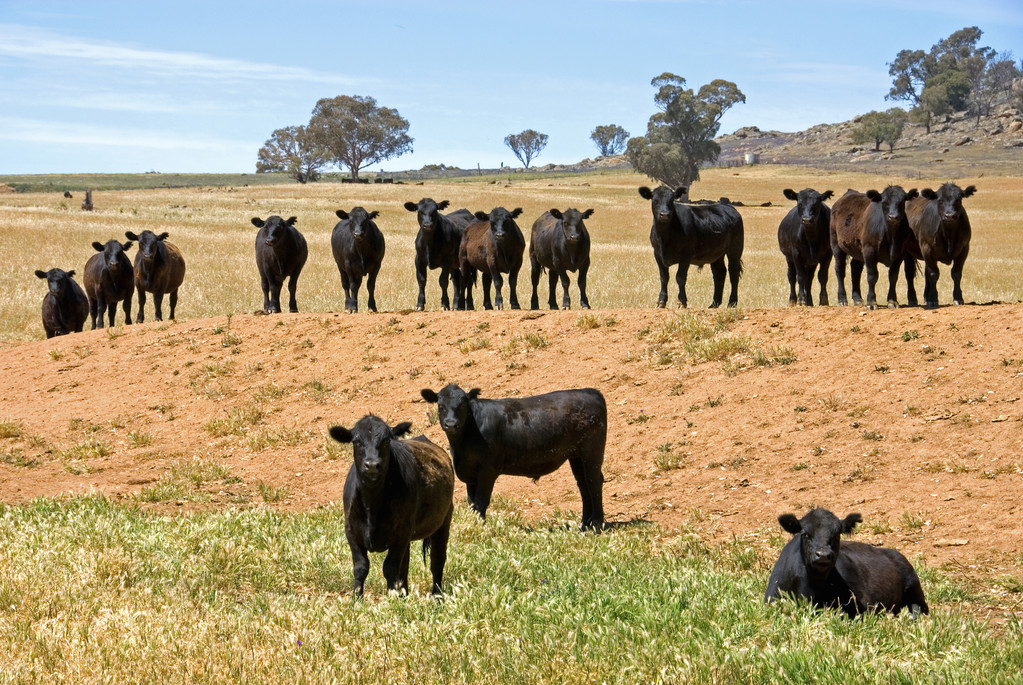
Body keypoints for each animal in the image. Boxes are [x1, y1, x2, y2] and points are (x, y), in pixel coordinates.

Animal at [329, 415, 454, 597]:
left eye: (386, 440)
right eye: (356, 441)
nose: (372, 464)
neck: (372, 505)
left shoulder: (401, 533)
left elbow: (389, 568)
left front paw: (391, 598)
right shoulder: (351, 530)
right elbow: (361, 567)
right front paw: (357, 599)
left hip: (443, 521)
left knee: (437, 560)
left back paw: (437, 596)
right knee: (405, 567)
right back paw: (405, 594)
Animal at [417, 386, 601, 531]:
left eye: (463, 405)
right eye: (440, 405)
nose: (451, 424)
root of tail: (590, 391)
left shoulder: (487, 470)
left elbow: (481, 501)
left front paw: (481, 528)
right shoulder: (470, 474)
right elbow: (472, 503)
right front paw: (475, 525)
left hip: (592, 452)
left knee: (594, 482)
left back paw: (597, 524)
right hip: (576, 456)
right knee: (583, 485)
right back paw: (585, 524)